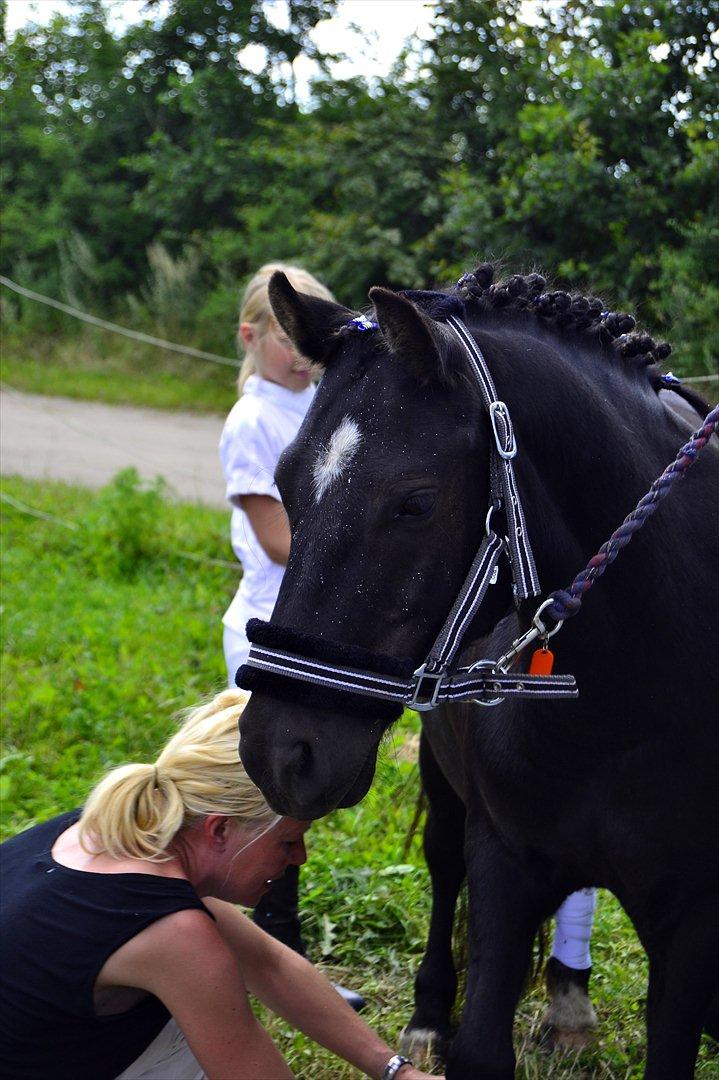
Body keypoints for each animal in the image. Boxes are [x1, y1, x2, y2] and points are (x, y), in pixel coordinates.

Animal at [236, 263, 716, 1080]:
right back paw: (430, 1015)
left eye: (415, 503)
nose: (278, 751)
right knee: (441, 867)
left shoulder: (689, 915)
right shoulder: (504, 867)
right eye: (286, 483)